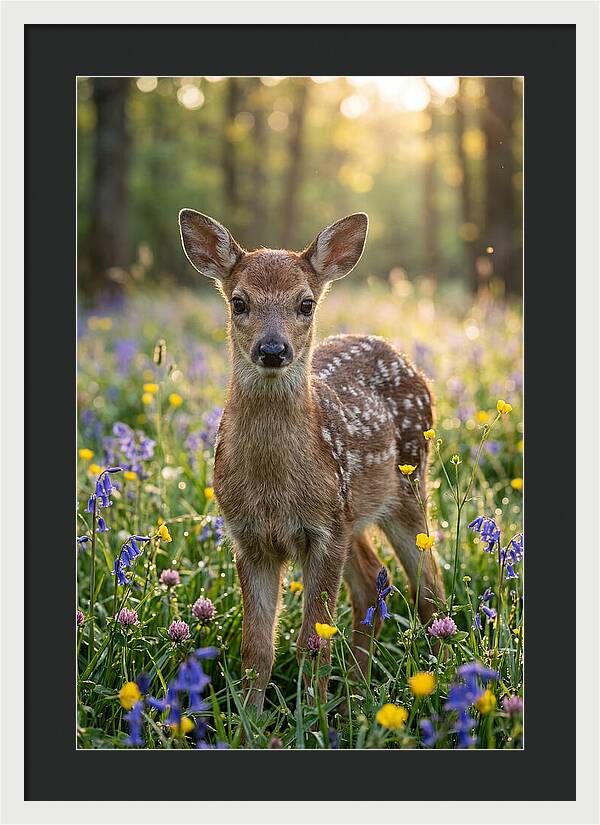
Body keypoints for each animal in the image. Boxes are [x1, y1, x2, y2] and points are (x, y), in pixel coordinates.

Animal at [178, 209, 444, 714]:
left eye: (305, 304)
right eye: (238, 302)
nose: (272, 349)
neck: (273, 489)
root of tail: (405, 359)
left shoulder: (323, 532)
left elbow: (313, 641)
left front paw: (312, 718)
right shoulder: (249, 538)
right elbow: (256, 648)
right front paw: (250, 721)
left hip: (406, 487)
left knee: (430, 590)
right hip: (353, 514)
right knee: (371, 583)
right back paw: (356, 696)